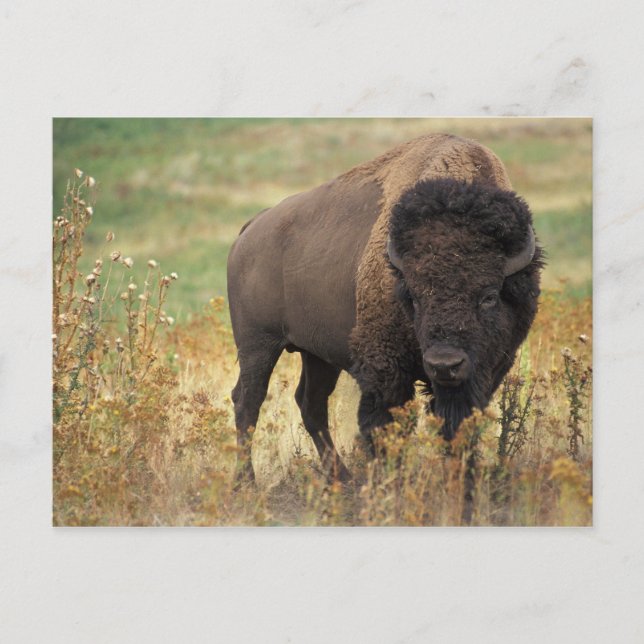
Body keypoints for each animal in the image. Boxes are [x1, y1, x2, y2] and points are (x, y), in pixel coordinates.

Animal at [227, 133, 543, 482]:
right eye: (414, 297)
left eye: (488, 295)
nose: (444, 364)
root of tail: (251, 228)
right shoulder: (386, 369)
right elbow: (385, 427)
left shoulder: (486, 370)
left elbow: (458, 425)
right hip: (258, 345)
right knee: (248, 401)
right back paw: (246, 481)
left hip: (317, 353)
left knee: (310, 403)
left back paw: (342, 478)